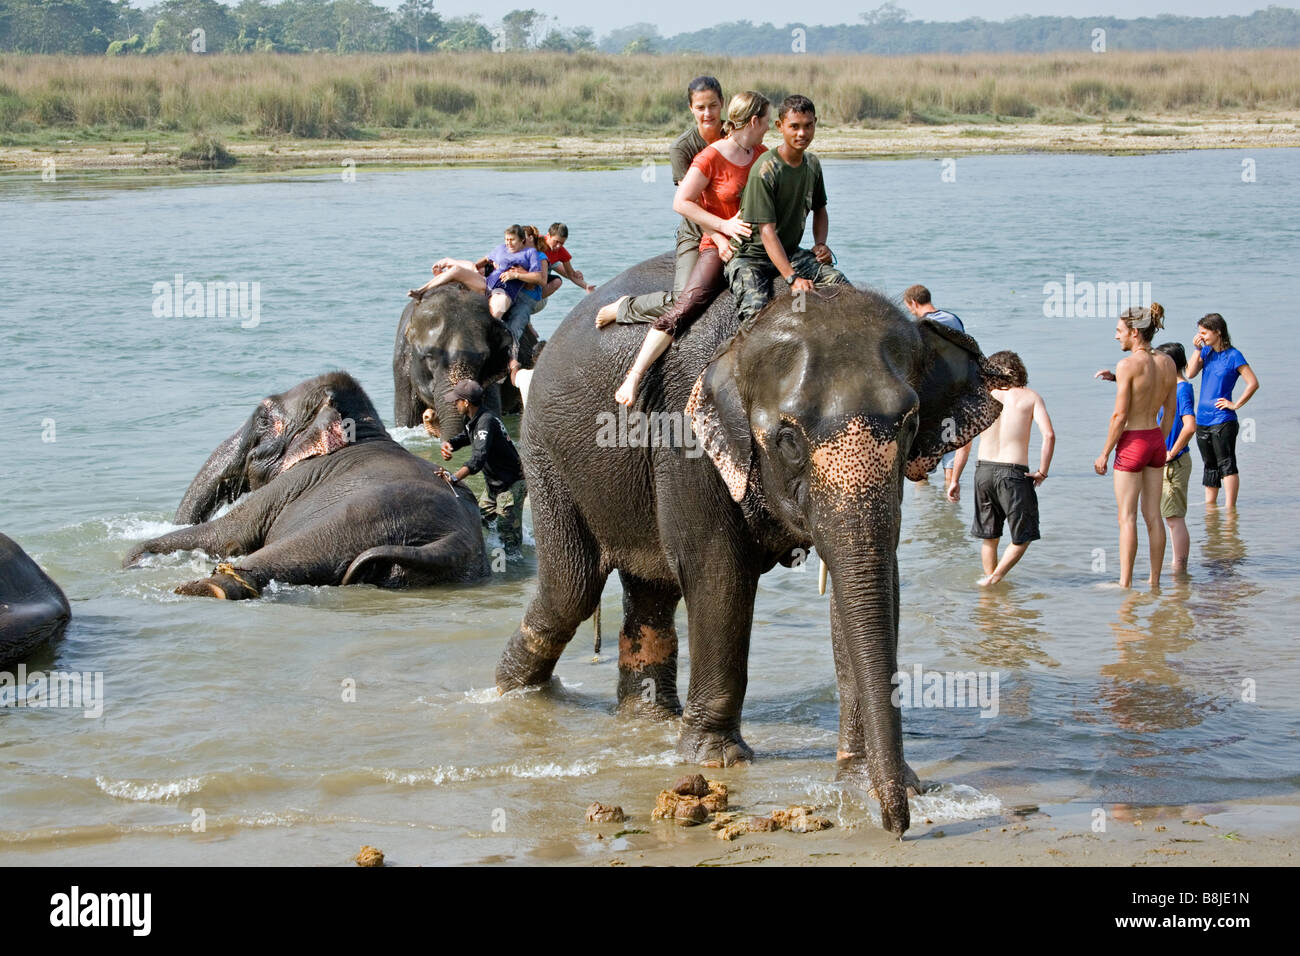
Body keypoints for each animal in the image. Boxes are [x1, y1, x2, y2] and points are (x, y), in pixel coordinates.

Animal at [124, 371, 488, 599]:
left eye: (262, 419)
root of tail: (457, 540)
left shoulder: (287, 486)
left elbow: (230, 533)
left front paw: (133, 557)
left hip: (354, 522)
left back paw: (195, 589)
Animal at [494, 252, 1013, 835]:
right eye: (787, 440)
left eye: (909, 424)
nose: (897, 826)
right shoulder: (684, 433)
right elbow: (718, 570)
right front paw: (717, 760)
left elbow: (871, 588)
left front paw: (868, 780)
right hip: (545, 453)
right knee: (572, 589)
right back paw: (510, 693)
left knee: (650, 591)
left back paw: (647, 718)